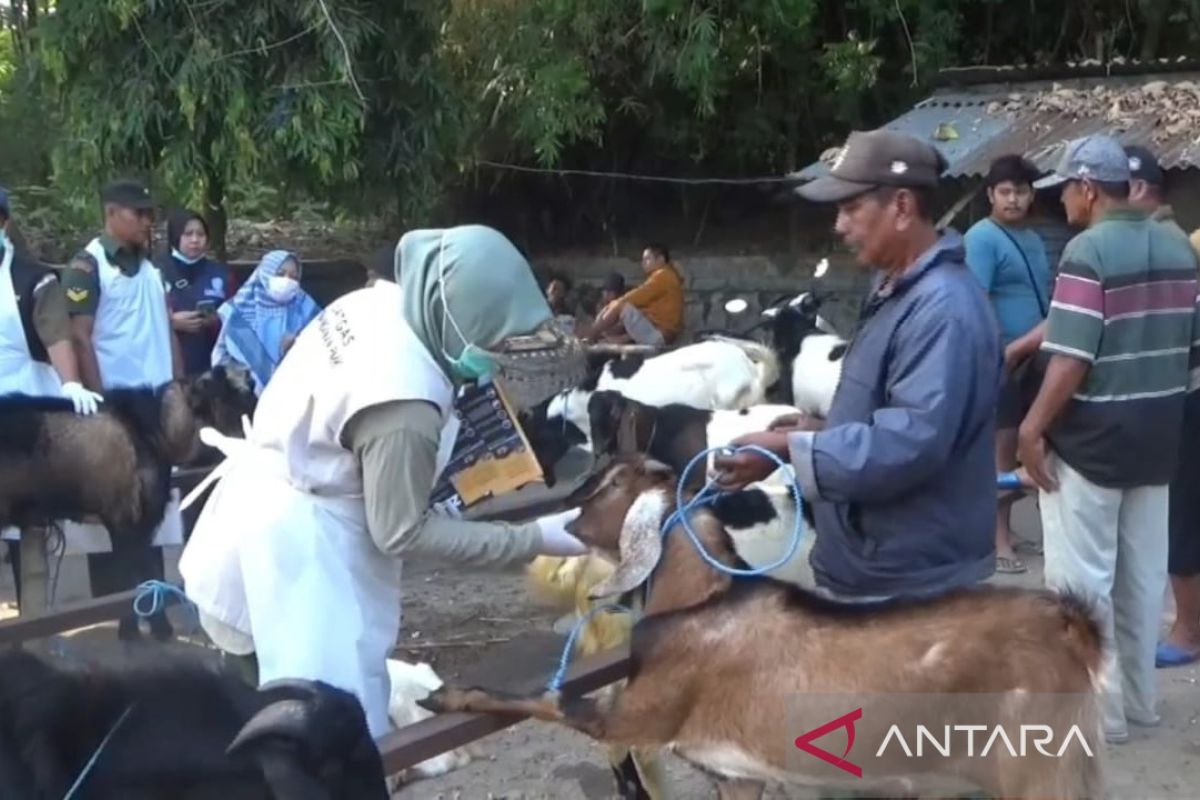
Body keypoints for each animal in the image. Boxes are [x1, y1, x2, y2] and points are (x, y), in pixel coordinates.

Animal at [427, 455, 1108, 800]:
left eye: (614, 483)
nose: (567, 511)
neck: (702, 600)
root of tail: (1070, 625)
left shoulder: (634, 717)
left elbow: (544, 698)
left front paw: (447, 695)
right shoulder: (736, 774)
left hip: (1034, 767)